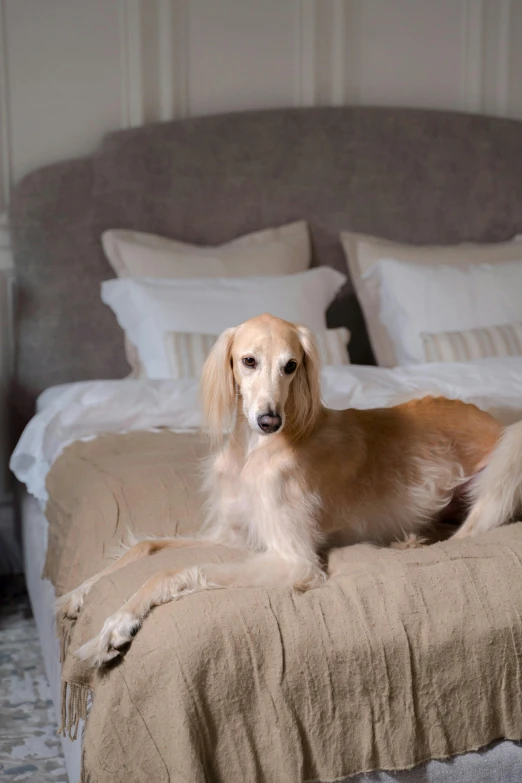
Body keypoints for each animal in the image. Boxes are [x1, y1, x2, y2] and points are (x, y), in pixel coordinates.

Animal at [58, 312, 520, 668]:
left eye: (291, 365)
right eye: (248, 361)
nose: (269, 420)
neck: (254, 451)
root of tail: (490, 421)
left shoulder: (295, 561)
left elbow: (172, 570)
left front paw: (114, 627)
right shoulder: (233, 536)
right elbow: (147, 547)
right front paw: (79, 593)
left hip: (509, 451)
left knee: (467, 533)